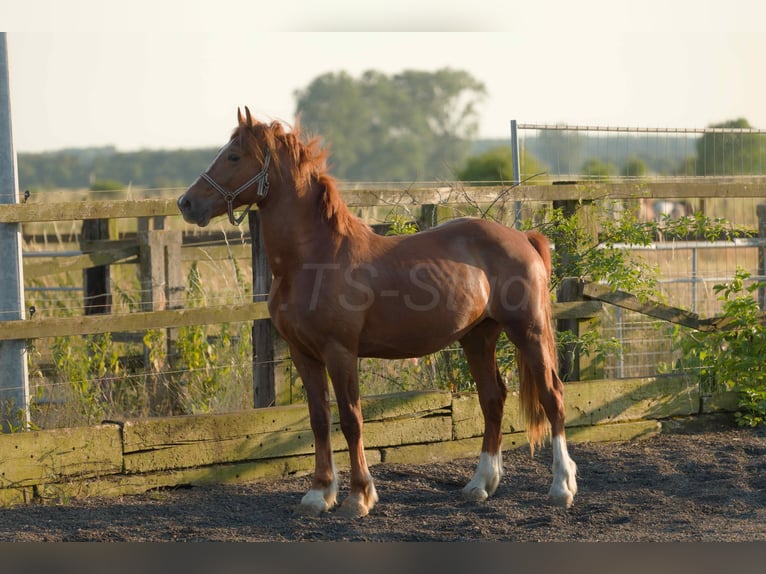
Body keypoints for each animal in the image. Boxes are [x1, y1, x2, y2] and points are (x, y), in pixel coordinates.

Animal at [177, 108, 578, 517]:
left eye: (234, 156)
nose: (186, 204)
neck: (314, 259)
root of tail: (524, 237)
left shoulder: (340, 352)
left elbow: (351, 420)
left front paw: (358, 496)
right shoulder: (303, 354)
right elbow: (319, 420)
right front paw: (319, 493)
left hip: (527, 331)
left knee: (553, 397)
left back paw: (561, 486)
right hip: (478, 337)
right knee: (493, 399)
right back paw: (481, 484)